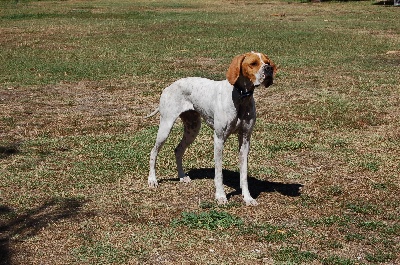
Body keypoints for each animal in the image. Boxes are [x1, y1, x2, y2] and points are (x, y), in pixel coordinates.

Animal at [146, 51, 276, 204]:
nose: (269, 69)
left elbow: (244, 174)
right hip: (166, 127)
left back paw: (182, 176)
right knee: (153, 152)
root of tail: (168, 87)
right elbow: (219, 173)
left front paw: (248, 198)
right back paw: (152, 180)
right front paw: (220, 196)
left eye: (268, 62)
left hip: (192, 129)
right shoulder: (219, 139)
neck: (241, 97)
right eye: (253, 63)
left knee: (178, 150)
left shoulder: (245, 140)